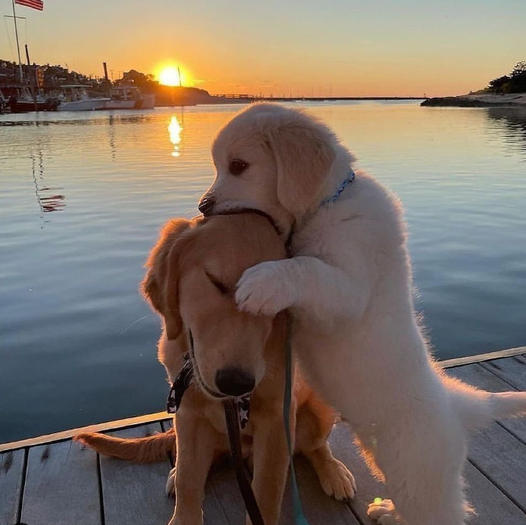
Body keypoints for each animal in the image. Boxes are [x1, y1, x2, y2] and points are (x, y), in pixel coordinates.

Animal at [76, 213, 356, 524]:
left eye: (276, 301)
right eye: (216, 282)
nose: (236, 383)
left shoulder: (275, 423)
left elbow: (266, 496)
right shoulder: (188, 414)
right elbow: (188, 479)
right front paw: (183, 509)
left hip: (321, 409)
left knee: (315, 446)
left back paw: (334, 472)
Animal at [196, 100, 526, 520]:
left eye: (238, 165)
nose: (202, 206)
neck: (327, 204)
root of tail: (457, 406)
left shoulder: (349, 288)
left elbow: (306, 267)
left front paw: (261, 283)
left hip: (419, 473)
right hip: (383, 458)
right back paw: (387, 511)